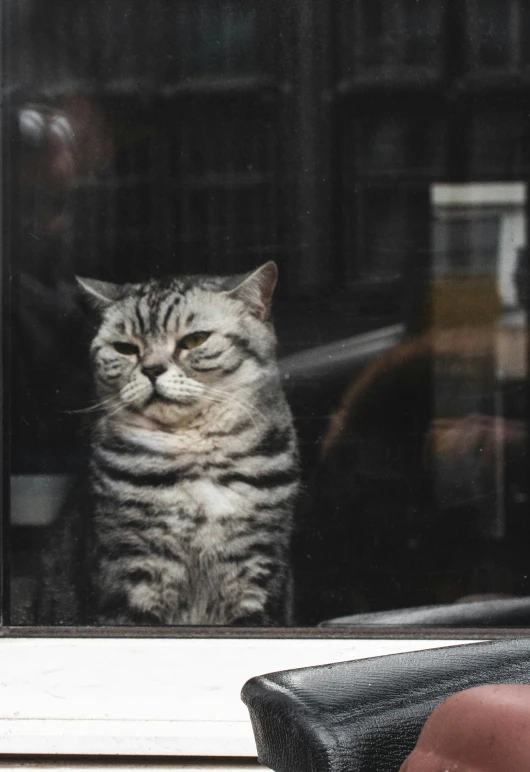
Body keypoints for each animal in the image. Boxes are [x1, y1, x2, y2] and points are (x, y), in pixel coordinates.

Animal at [35, 262, 300, 624]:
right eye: (125, 348)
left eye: (195, 340)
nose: (152, 369)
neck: (193, 453)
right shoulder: (134, 570)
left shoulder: (256, 571)